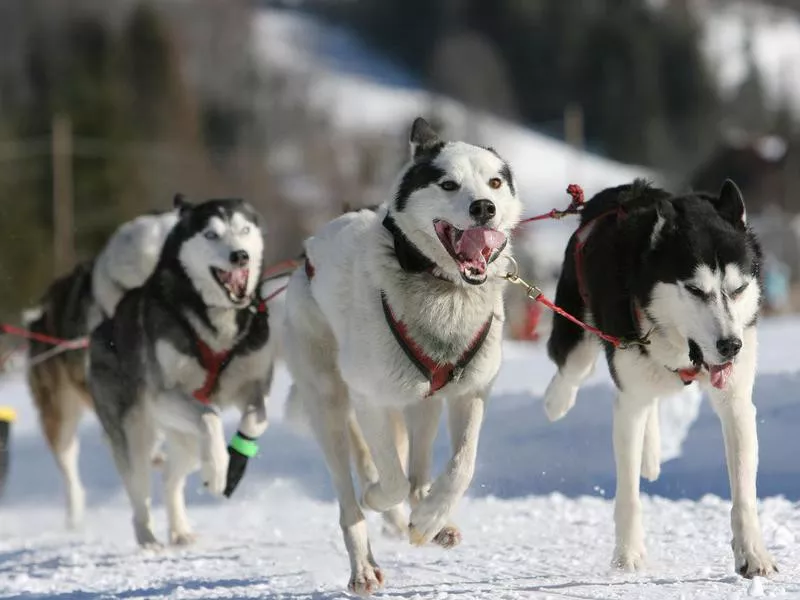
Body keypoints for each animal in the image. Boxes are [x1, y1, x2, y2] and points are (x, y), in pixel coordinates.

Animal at [90, 195, 276, 548]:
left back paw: (179, 530)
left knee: (170, 478)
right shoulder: (163, 395)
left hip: (184, 441)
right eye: (211, 235)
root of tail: (109, 322)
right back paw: (148, 538)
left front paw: (234, 462)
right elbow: (210, 417)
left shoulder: (252, 384)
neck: (215, 320)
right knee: (139, 490)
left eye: (244, 230)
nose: (240, 255)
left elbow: (257, 420)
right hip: (137, 435)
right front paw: (218, 471)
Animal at [284, 118, 520, 596]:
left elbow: (460, 466)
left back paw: (430, 518)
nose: (484, 207)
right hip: (330, 404)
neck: (443, 289)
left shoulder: (469, 393)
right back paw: (363, 564)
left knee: (417, 471)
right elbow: (388, 479)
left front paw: (429, 518)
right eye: (448, 184)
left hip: (421, 404)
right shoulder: (370, 401)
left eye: (494, 182)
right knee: (351, 494)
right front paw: (379, 497)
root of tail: (306, 256)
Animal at [544, 178, 776, 576]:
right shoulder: (629, 399)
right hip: (578, 336)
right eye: (695, 290)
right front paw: (628, 554)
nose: (731, 346)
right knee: (573, 369)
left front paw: (752, 553)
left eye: (739, 289)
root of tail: (623, 188)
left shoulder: (736, 402)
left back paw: (651, 452)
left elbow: (744, 494)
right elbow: (628, 493)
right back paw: (555, 401)